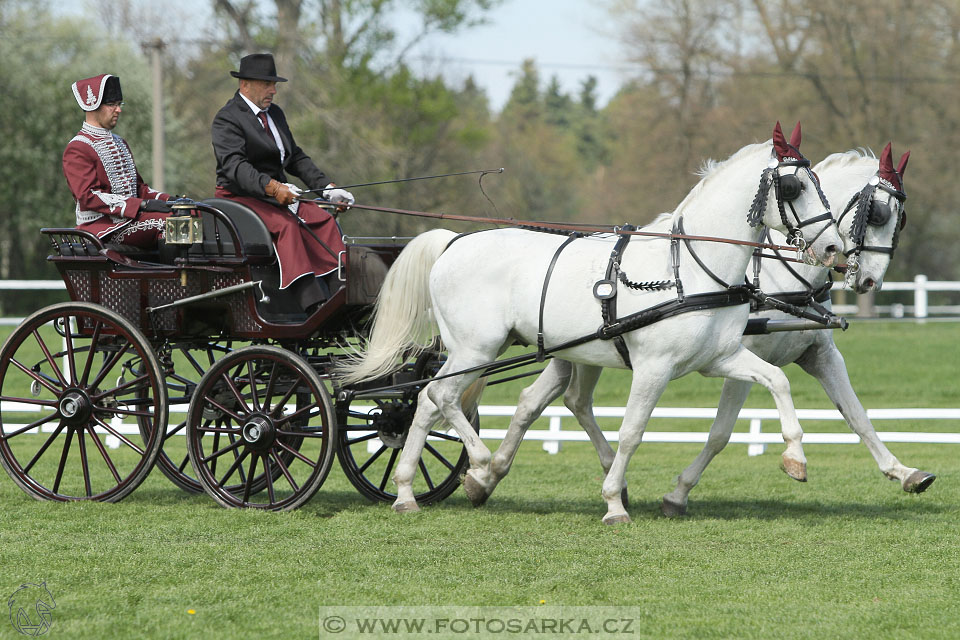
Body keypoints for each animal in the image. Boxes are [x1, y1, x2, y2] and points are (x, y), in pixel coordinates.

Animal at [340, 122, 840, 524]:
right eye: (794, 186)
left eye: (819, 180)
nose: (834, 247)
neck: (690, 269)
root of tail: (454, 242)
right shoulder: (654, 367)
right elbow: (633, 431)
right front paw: (614, 503)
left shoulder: (720, 358)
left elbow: (777, 381)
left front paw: (795, 458)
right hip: (475, 349)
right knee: (441, 397)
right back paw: (478, 464)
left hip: (479, 352)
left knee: (426, 402)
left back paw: (407, 492)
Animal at [476, 144, 932, 516]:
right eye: (878, 213)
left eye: (900, 219)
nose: (870, 280)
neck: (780, 276)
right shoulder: (743, 358)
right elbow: (720, 433)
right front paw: (678, 494)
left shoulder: (819, 355)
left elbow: (857, 415)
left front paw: (904, 472)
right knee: (545, 401)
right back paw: (492, 473)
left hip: (581, 353)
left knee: (551, 400)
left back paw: (495, 474)